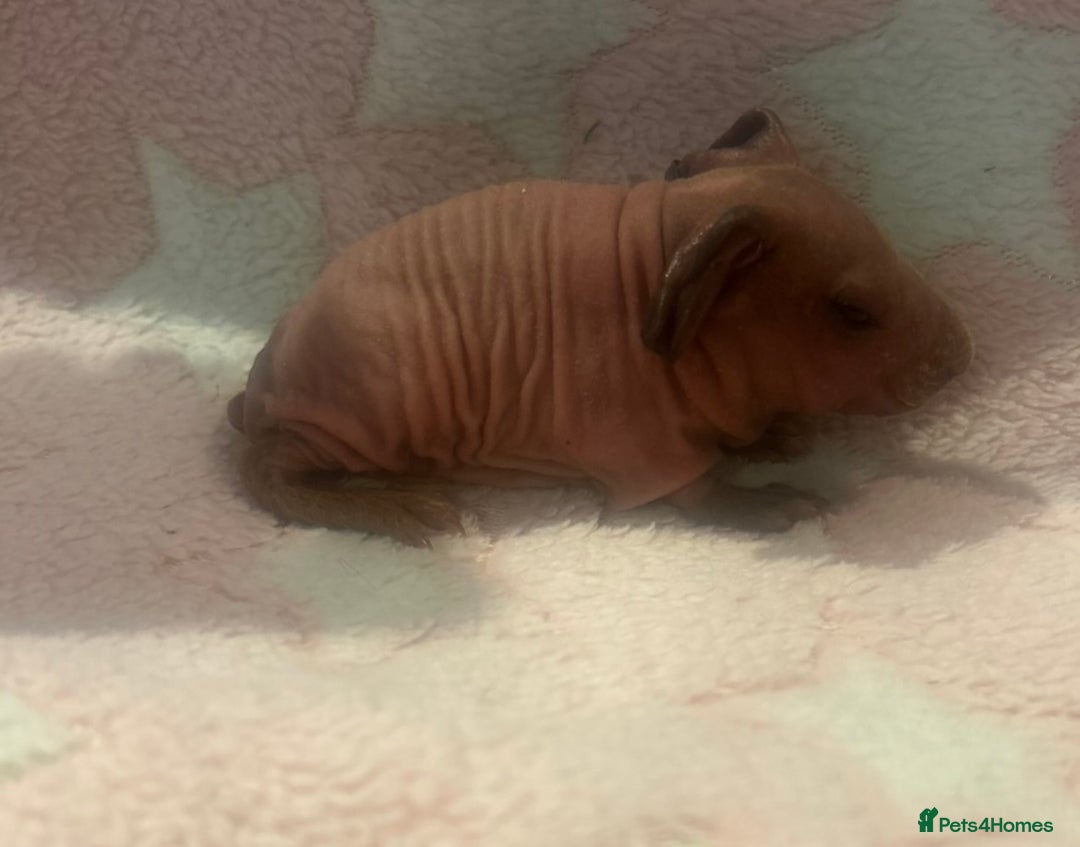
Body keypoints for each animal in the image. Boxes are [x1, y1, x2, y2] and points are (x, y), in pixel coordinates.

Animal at [227, 108, 973, 546]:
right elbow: (700, 493)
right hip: (370, 408)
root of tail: (259, 390)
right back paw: (406, 511)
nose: (961, 357)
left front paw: (780, 436)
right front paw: (776, 505)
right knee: (266, 474)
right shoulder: (635, 445)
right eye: (854, 313)